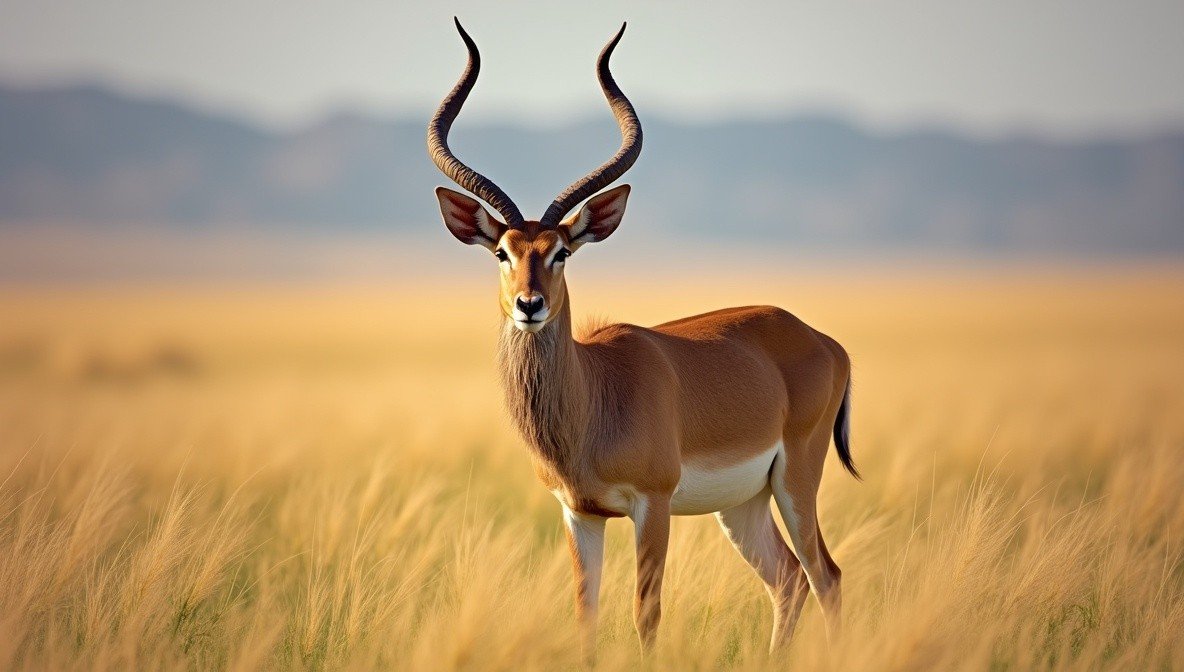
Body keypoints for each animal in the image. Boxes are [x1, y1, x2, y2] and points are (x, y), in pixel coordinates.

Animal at [427, 19, 859, 654]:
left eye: (561, 251)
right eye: (503, 251)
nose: (530, 305)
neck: (595, 396)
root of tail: (822, 340)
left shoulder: (651, 507)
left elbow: (645, 614)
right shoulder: (579, 514)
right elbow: (585, 615)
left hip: (796, 481)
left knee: (825, 576)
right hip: (746, 505)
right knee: (789, 581)